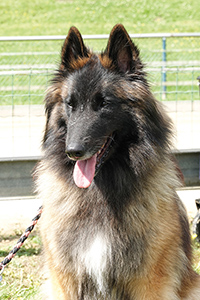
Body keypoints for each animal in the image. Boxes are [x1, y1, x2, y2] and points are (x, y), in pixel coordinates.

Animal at [36, 24, 200, 298]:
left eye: (104, 103)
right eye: (70, 104)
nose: (73, 151)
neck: (99, 193)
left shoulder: (149, 281)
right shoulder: (64, 279)